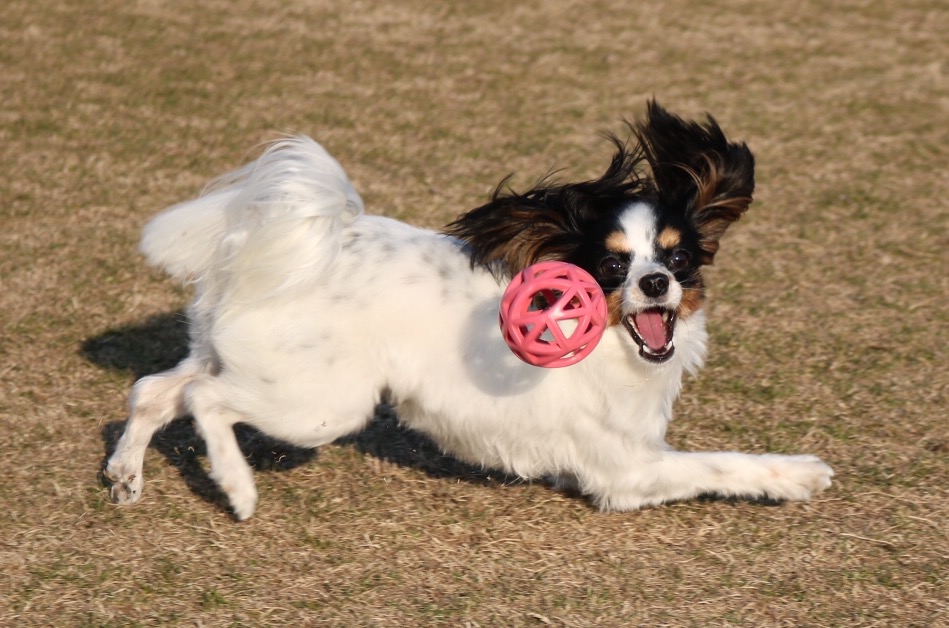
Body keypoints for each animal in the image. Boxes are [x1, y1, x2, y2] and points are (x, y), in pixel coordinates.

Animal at [102, 102, 828, 520]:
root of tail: (288, 249)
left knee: (157, 389)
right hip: (322, 405)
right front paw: (799, 474)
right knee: (206, 401)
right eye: (613, 267)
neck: (608, 344)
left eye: (678, 258)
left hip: (230, 357)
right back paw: (237, 486)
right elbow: (723, 463)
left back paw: (125, 475)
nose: (654, 284)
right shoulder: (628, 469)